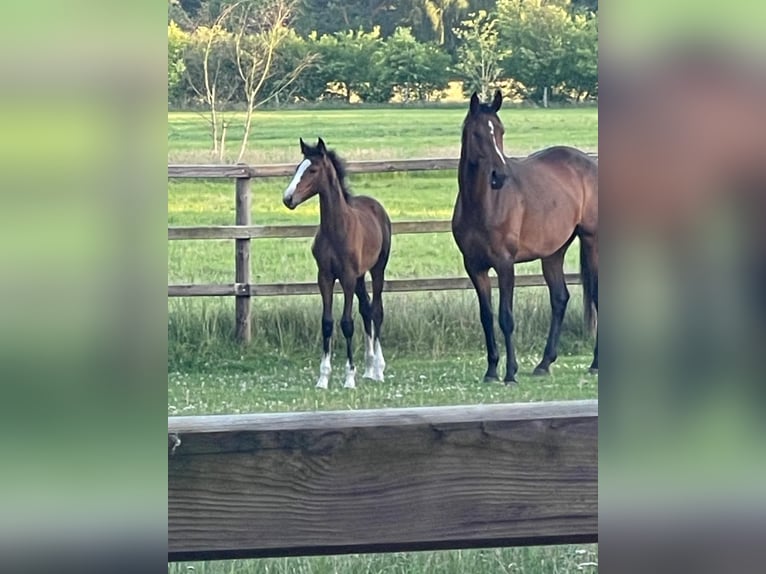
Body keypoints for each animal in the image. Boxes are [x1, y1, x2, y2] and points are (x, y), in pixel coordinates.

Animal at [282, 137, 392, 389]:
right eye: (297, 168)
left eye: (312, 170)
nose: (288, 199)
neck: (337, 228)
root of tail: (376, 205)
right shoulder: (325, 276)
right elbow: (327, 323)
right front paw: (323, 378)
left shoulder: (347, 278)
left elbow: (347, 323)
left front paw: (349, 377)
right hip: (361, 276)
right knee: (367, 309)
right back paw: (369, 368)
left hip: (377, 269)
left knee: (377, 310)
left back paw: (378, 369)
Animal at [452, 90, 598, 384]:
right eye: (476, 134)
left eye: (500, 131)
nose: (499, 176)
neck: (482, 204)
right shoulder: (475, 266)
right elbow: (486, 316)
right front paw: (491, 370)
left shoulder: (505, 264)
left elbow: (506, 317)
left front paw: (510, 373)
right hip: (554, 253)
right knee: (560, 299)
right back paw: (544, 363)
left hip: (593, 241)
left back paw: (596, 363)